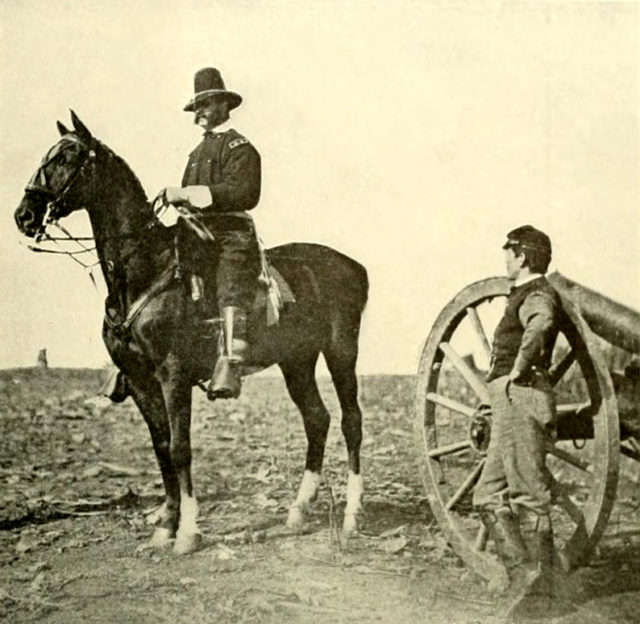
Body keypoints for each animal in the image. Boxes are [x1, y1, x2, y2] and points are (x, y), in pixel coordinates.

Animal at [12, 112, 368, 552]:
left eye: (68, 156)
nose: (24, 215)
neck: (144, 268)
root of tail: (352, 266)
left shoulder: (173, 374)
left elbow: (181, 448)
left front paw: (188, 531)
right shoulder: (141, 380)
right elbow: (162, 447)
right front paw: (166, 523)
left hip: (341, 353)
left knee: (351, 421)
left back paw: (352, 514)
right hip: (296, 361)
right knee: (317, 420)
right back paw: (299, 510)